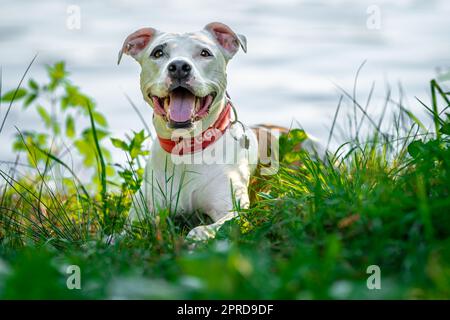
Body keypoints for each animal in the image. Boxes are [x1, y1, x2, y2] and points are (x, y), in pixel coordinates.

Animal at [118, 21, 260, 240]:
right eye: (158, 53)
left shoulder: (232, 209)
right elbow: (118, 236)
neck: (186, 150)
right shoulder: (139, 214)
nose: (178, 67)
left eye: (205, 53)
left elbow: (211, 227)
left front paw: (196, 237)